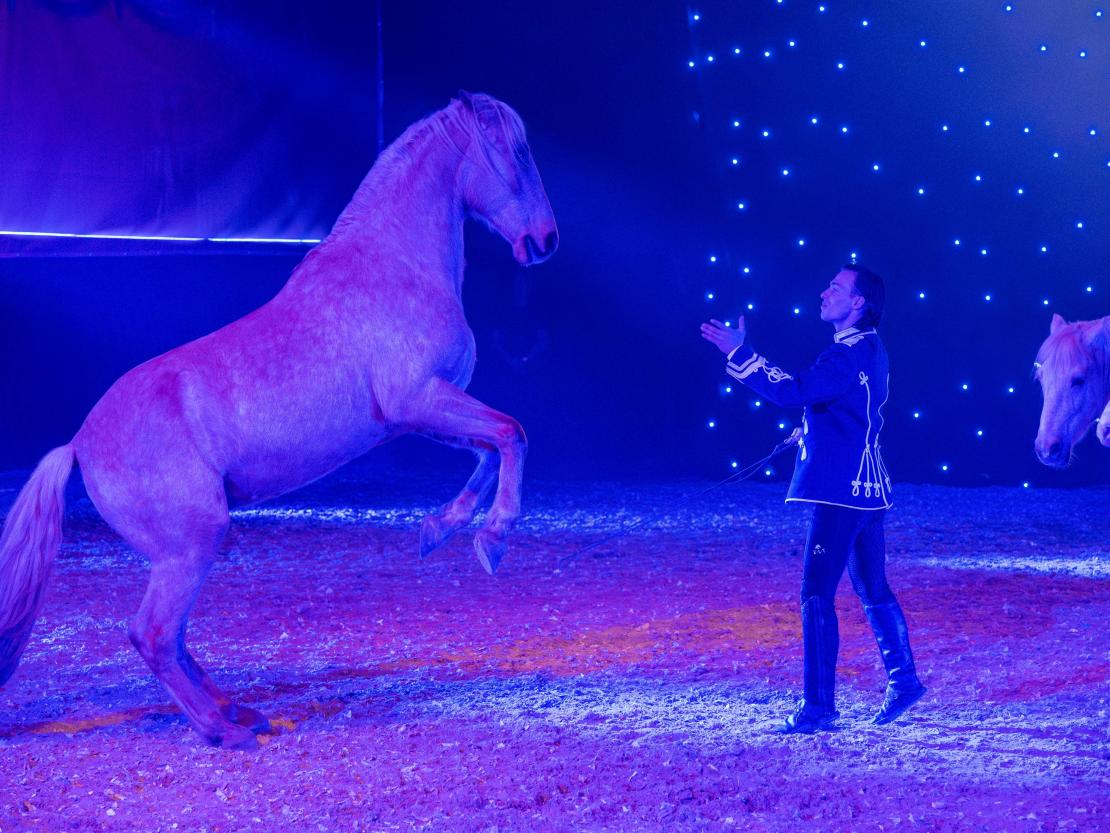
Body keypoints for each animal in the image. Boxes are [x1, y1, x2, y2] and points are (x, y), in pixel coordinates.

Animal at [0, 91, 558, 748]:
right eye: (517, 151)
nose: (545, 239)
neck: (394, 264)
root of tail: (79, 444)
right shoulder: (418, 399)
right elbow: (512, 434)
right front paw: (492, 540)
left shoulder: (417, 415)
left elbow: (488, 450)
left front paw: (439, 530)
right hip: (192, 544)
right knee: (153, 635)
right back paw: (223, 729)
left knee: (175, 638)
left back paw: (238, 710)